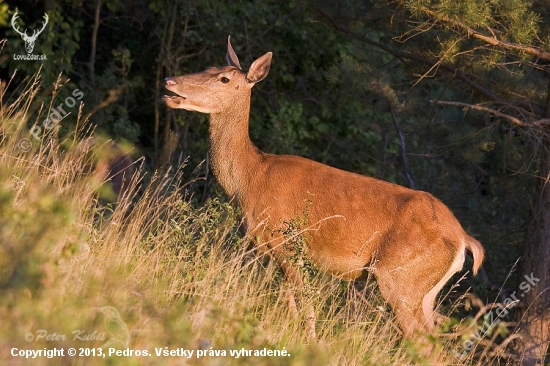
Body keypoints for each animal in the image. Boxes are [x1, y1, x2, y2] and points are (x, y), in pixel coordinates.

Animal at [163, 36, 484, 340]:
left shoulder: (285, 242)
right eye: (209, 67)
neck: (250, 177)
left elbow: (303, 305)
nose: (169, 82)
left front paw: (308, 340)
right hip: (423, 292)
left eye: (224, 79)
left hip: (401, 279)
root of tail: (464, 239)